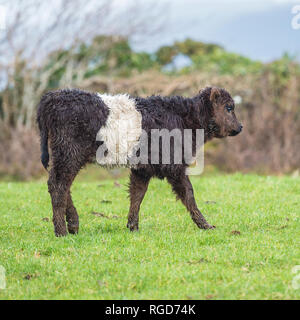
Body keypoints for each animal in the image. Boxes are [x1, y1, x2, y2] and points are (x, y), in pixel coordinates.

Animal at [37, 86, 243, 236]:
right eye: (229, 107)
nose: (240, 127)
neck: (185, 118)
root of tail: (54, 95)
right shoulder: (174, 165)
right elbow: (188, 194)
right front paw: (205, 225)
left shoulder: (142, 168)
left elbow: (137, 194)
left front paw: (132, 226)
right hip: (68, 154)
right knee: (58, 185)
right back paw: (62, 231)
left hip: (65, 156)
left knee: (62, 186)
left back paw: (73, 224)